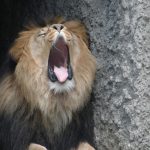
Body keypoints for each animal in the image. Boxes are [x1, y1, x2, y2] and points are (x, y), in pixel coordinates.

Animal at [0, 17, 96, 150]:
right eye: (42, 34)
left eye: (68, 30)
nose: (58, 27)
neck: (55, 104)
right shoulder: (17, 138)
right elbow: (38, 147)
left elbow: (87, 146)